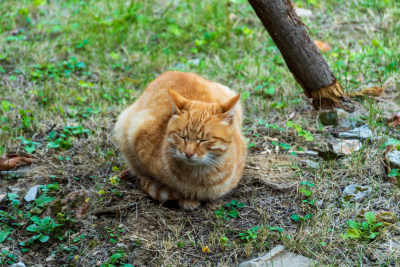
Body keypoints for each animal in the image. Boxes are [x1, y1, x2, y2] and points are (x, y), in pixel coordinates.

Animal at [114, 72, 245, 210]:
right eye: (182, 136)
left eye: (204, 140)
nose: (188, 153)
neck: (200, 178)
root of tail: (169, 72)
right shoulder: (136, 132)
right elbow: (145, 175)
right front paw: (186, 199)